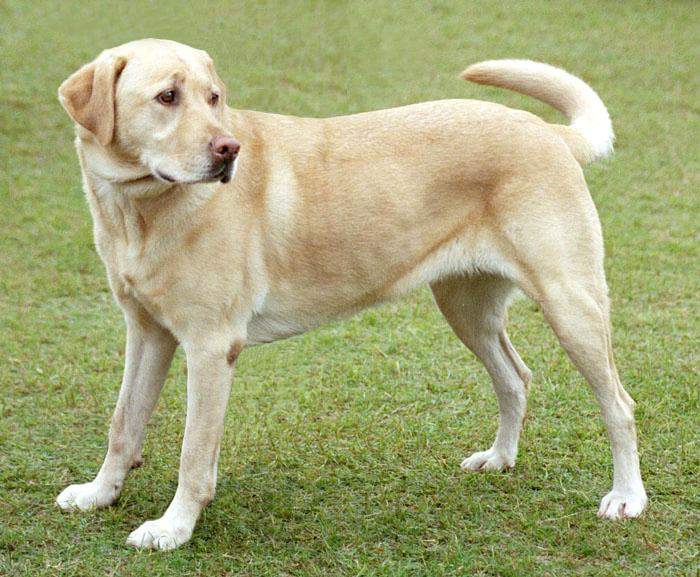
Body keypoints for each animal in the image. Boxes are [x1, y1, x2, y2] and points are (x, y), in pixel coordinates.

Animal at [57, 37, 648, 548]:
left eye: (214, 97)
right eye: (167, 97)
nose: (229, 150)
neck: (140, 210)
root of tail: (547, 132)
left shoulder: (210, 346)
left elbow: (193, 453)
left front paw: (173, 529)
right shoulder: (147, 333)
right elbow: (122, 424)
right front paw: (99, 493)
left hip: (570, 305)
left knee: (618, 404)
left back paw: (627, 497)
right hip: (467, 310)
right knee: (516, 378)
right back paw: (500, 459)